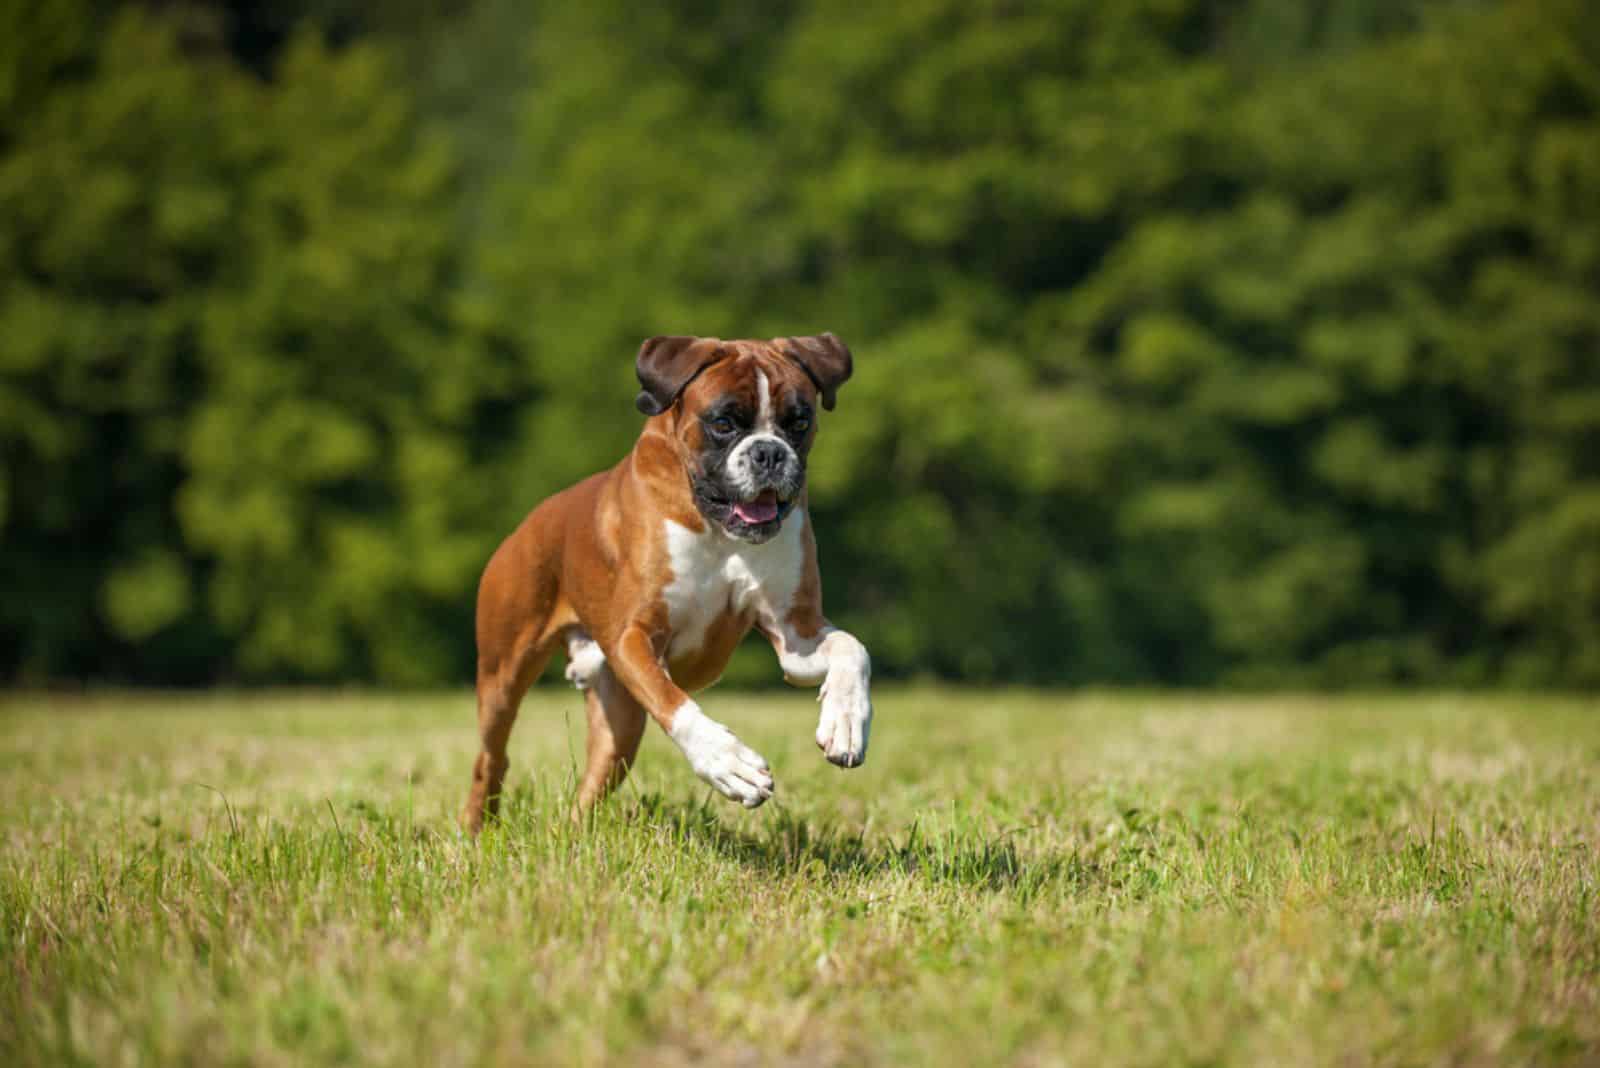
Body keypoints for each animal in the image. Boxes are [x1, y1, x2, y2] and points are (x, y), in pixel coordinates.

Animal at [464, 329, 876, 831]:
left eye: (799, 421)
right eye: (723, 423)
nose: (769, 453)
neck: (718, 529)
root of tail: (528, 522)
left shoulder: (796, 637)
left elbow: (852, 649)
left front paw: (846, 722)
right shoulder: (634, 637)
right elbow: (674, 703)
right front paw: (727, 762)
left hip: (619, 728)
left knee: (589, 790)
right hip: (503, 675)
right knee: (491, 758)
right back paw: (476, 831)